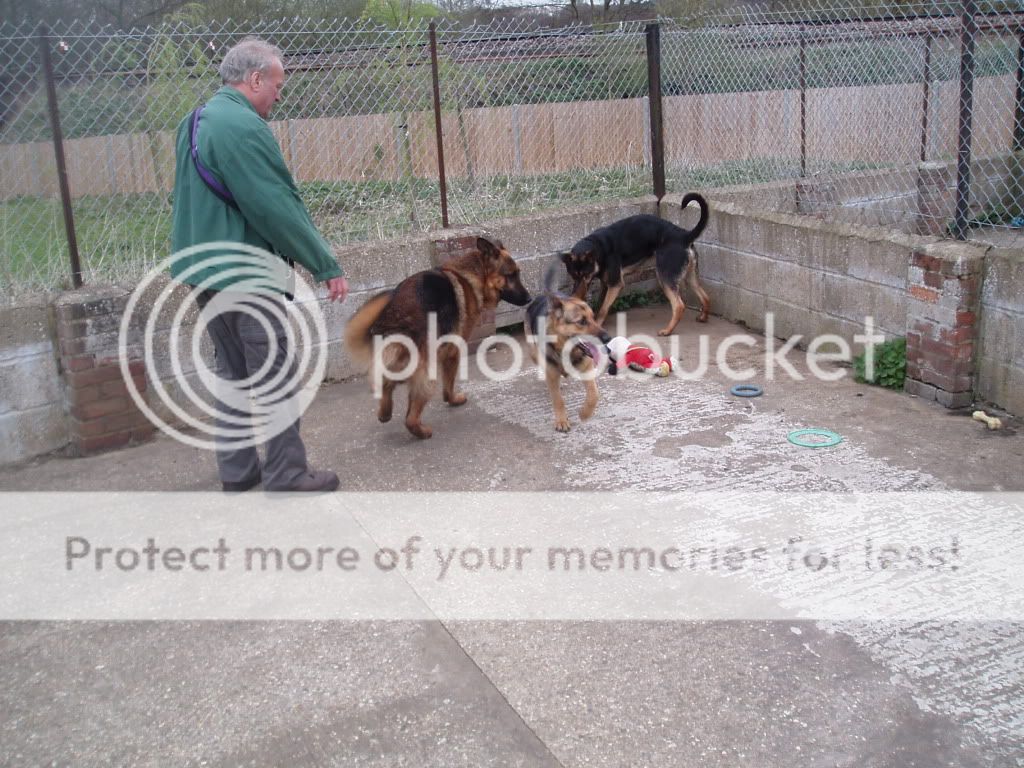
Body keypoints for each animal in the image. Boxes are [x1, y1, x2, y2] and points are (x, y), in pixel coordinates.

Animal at [561, 192, 712, 335]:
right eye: (573, 276)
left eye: (585, 275)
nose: (575, 295)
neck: (598, 247)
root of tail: (684, 236)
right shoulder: (606, 283)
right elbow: (601, 304)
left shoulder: (616, 284)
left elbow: (603, 308)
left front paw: (597, 323)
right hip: (690, 276)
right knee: (705, 296)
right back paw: (703, 317)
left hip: (665, 277)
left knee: (679, 305)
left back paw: (667, 330)